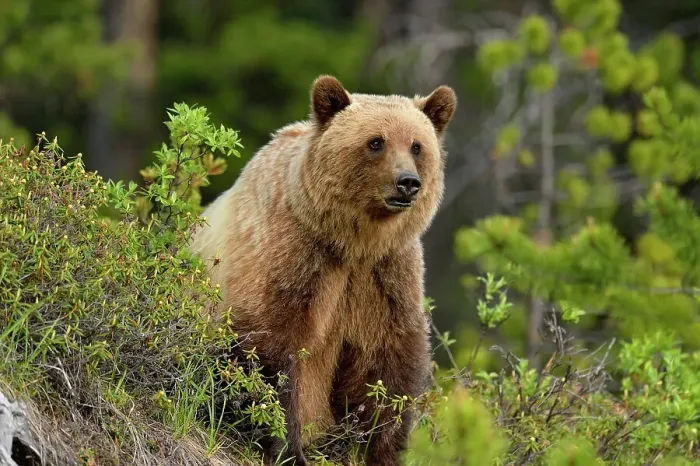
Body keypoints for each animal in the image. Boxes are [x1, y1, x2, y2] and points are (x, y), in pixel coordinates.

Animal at [190, 75, 456, 465]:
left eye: (417, 146)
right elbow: (270, 348)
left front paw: (379, 449)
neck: (352, 242)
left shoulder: (384, 276)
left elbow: (387, 364)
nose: (407, 182)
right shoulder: (294, 255)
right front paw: (286, 446)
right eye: (375, 142)